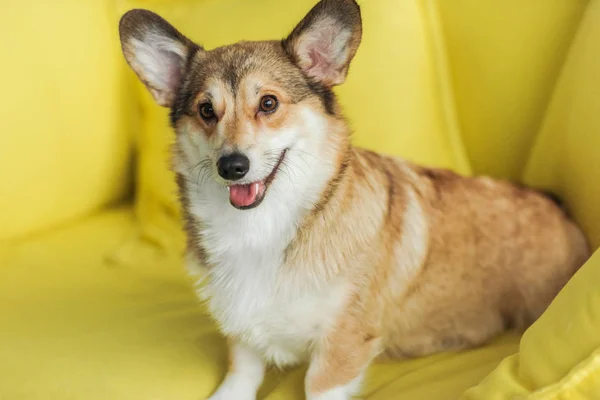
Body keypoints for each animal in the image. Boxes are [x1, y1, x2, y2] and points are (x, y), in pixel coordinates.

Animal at [118, 1, 592, 398]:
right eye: (205, 110)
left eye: (268, 103)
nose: (231, 166)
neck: (264, 228)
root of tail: (560, 210)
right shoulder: (242, 335)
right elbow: (239, 377)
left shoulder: (340, 350)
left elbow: (318, 384)